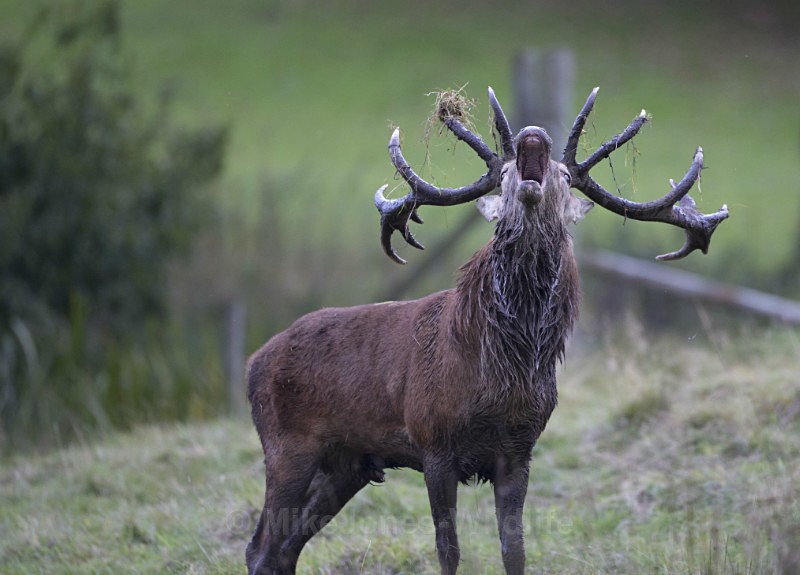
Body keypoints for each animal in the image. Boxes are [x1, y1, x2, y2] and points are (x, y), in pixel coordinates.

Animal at [245, 86, 729, 575]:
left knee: (283, 548)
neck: (499, 373)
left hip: (347, 464)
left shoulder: (519, 450)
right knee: (262, 546)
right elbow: (448, 549)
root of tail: (253, 363)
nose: (533, 134)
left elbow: (514, 548)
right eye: (505, 175)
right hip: (287, 445)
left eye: (566, 177)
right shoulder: (433, 444)